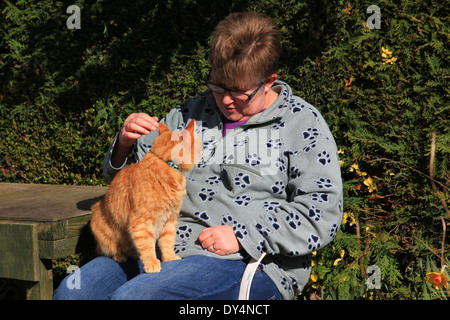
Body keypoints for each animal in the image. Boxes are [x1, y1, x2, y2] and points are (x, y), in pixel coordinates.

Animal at [90, 120, 201, 272]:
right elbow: (147, 245)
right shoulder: (142, 222)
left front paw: (169, 257)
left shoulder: (169, 220)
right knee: (111, 249)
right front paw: (151, 263)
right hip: (100, 220)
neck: (166, 163)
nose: (202, 150)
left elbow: (167, 241)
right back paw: (120, 256)